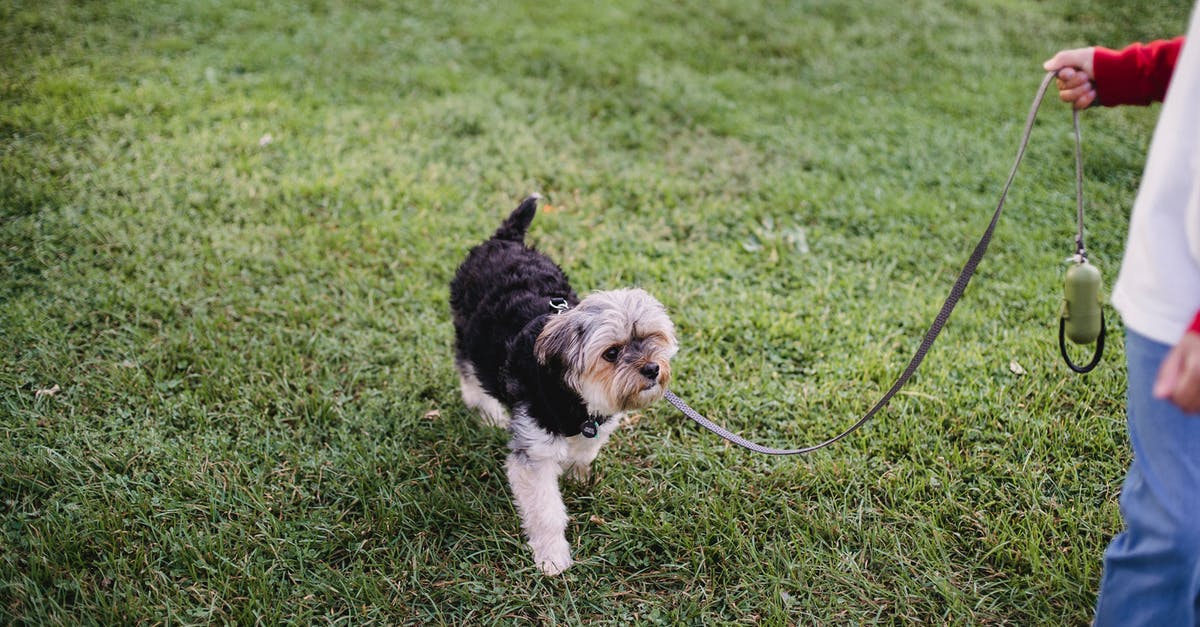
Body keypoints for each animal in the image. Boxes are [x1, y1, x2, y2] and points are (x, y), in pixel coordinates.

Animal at [451, 193, 676, 571]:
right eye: (611, 353)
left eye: (650, 338)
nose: (651, 369)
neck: (574, 395)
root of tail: (505, 239)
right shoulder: (535, 451)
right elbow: (546, 510)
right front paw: (552, 557)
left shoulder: (596, 424)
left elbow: (585, 450)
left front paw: (576, 474)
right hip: (470, 337)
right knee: (468, 372)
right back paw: (486, 412)